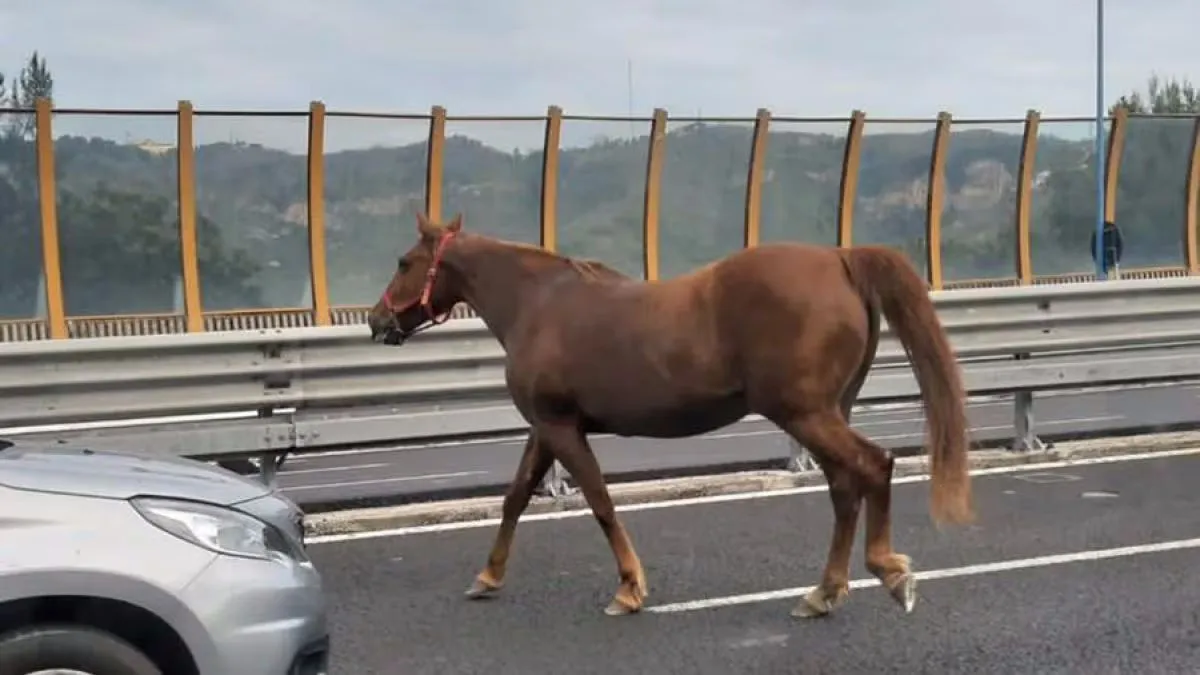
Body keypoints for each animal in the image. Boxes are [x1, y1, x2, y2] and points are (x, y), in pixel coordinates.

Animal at [367, 212, 973, 619]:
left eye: (403, 262)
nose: (376, 321)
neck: (538, 305)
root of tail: (841, 259)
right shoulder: (546, 428)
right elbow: (515, 497)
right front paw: (488, 576)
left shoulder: (561, 428)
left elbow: (601, 504)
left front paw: (629, 588)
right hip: (825, 412)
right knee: (846, 488)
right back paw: (823, 592)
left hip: (805, 414)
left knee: (873, 466)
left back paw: (890, 573)